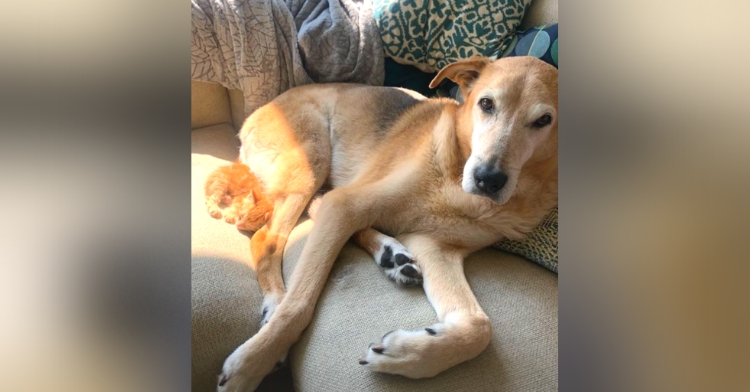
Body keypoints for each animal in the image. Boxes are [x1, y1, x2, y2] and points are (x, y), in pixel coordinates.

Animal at [214, 56, 556, 392]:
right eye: (486, 104)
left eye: (544, 120)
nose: (488, 179)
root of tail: (262, 108)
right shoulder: (347, 204)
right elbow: (299, 304)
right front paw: (251, 363)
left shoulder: (434, 247)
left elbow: (479, 327)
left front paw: (407, 355)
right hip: (312, 159)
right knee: (267, 240)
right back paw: (275, 304)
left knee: (315, 208)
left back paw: (393, 256)